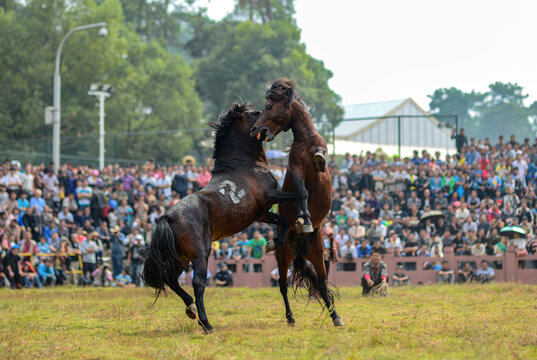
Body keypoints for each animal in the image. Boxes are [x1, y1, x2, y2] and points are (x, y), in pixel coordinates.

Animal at [142, 102, 298, 334]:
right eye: (254, 113)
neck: (245, 165)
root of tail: (166, 217)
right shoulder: (271, 195)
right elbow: (298, 196)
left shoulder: (261, 213)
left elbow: (284, 222)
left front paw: (273, 243)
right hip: (200, 253)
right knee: (198, 283)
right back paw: (206, 323)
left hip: (181, 257)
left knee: (171, 279)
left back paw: (191, 309)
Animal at [251, 78, 344, 326]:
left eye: (269, 106)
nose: (255, 129)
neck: (306, 140)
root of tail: (300, 249)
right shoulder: (296, 169)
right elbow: (302, 192)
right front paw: (305, 218)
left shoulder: (321, 163)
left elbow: (322, 156)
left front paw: (319, 156)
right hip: (284, 257)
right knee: (283, 286)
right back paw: (290, 317)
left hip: (319, 255)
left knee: (321, 284)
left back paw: (336, 317)